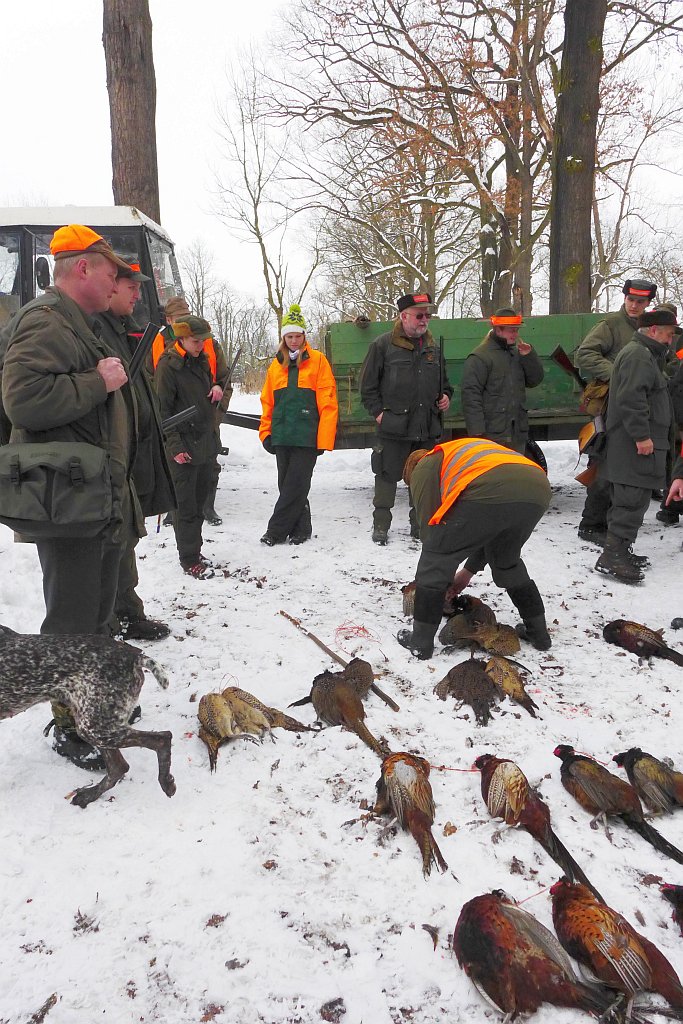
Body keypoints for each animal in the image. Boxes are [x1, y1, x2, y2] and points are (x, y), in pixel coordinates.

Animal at [0, 624, 175, 807]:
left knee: (162, 738)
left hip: (93, 727)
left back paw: (166, 782)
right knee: (119, 767)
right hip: (97, 723)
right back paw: (89, 795)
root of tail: (133, 657)